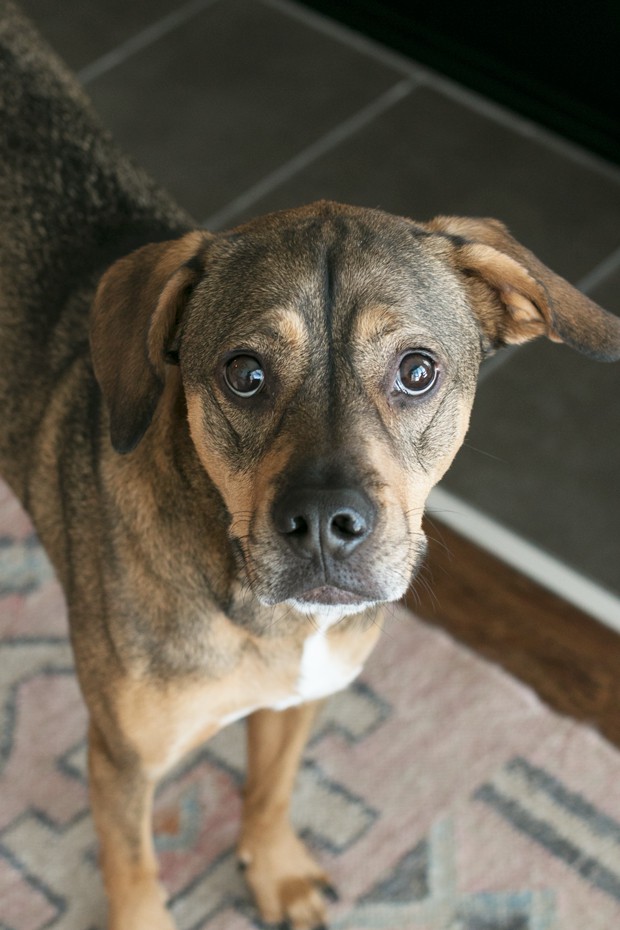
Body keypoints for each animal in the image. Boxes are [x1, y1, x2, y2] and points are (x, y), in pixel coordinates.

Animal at [3, 3, 620, 924]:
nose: (327, 525)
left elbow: (272, 786)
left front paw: (276, 870)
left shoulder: (303, 698)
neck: (260, 613)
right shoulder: (121, 758)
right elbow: (136, 872)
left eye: (417, 370)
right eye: (244, 373)